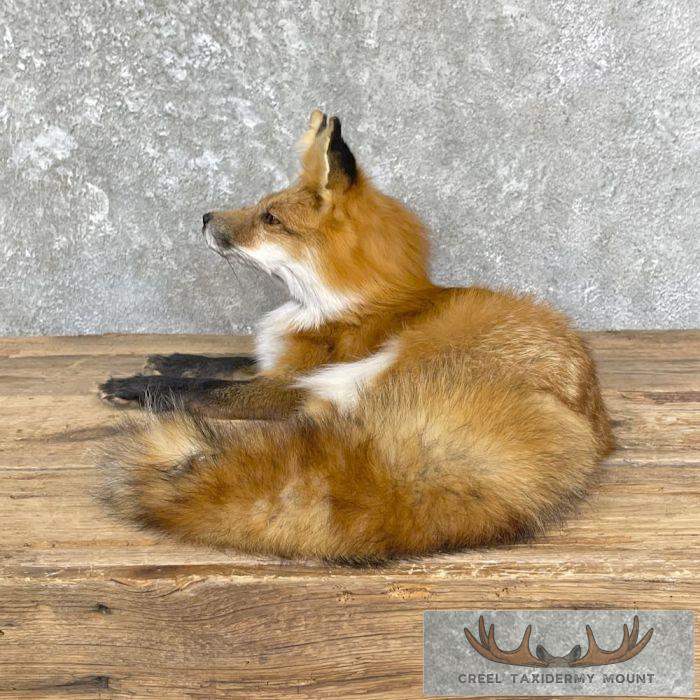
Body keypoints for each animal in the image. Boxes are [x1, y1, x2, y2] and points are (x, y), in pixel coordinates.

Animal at [99, 110, 614, 562]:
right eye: (261, 207)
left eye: (270, 218)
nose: (205, 217)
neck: (327, 308)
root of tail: (588, 428)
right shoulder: (276, 362)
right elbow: (213, 361)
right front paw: (163, 360)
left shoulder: (290, 379)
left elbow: (207, 385)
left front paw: (137, 386)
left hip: (374, 368)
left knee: (321, 413)